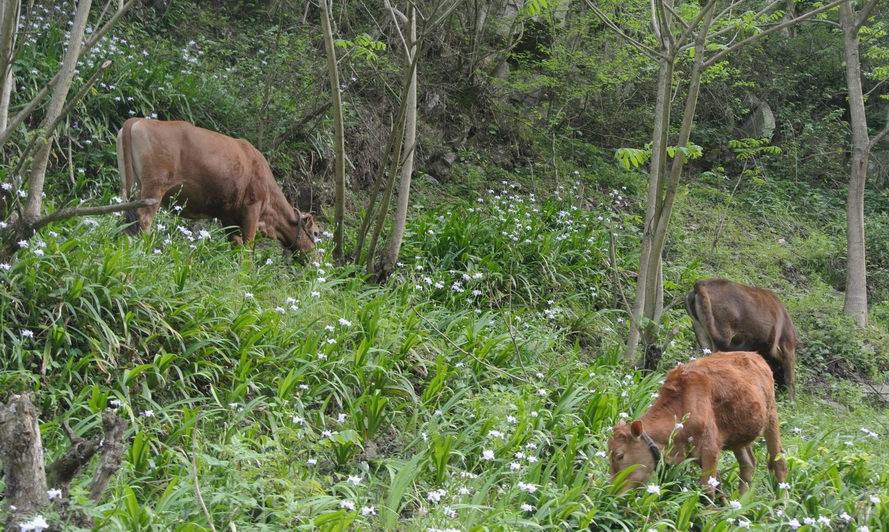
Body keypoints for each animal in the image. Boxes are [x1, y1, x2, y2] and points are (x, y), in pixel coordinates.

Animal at [112, 117, 318, 250]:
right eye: (316, 233)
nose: (316, 260)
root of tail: (136, 121)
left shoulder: (228, 215)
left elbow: (236, 245)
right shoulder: (252, 207)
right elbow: (248, 246)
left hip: (129, 186)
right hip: (154, 188)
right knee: (144, 218)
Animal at [608, 352, 788, 496]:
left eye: (620, 455)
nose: (614, 491)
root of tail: (756, 356)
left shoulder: (710, 449)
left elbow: (707, 490)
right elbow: (717, 486)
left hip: (771, 417)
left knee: (779, 461)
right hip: (739, 435)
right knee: (748, 464)